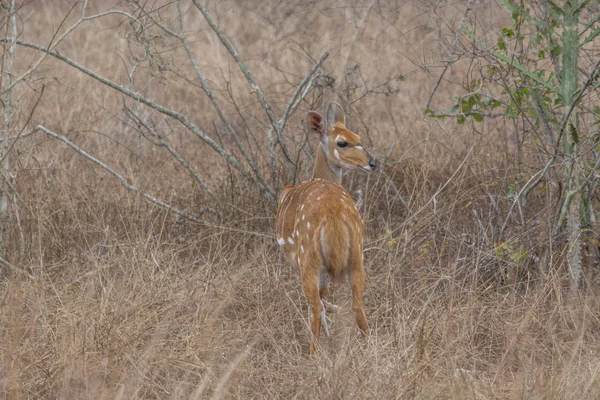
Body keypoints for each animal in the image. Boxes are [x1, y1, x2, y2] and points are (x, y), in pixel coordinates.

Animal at [276, 101, 376, 354]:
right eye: (343, 141)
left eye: (357, 137)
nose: (372, 163)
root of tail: (333, 215)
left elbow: (318, 302)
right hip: (357, 255)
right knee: (357, 304)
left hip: (309, 260)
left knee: (315, 306)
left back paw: (313, 353)